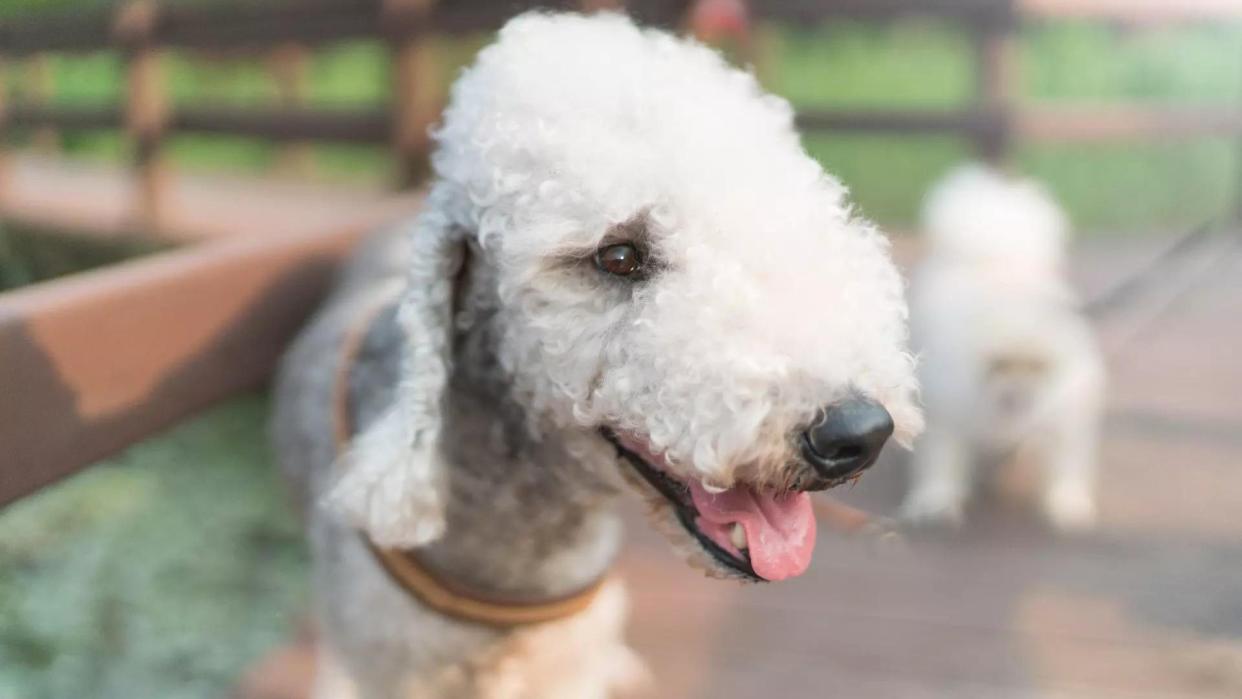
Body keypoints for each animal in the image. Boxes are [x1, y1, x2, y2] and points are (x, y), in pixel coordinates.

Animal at [904, 165, 1107, 531]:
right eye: (999, 364)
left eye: (1038, 366)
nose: (1018, 396)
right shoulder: (949, 411)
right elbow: (942, 462)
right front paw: (936, 504)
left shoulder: (1064, 410)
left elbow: (1066, 462)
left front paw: (1067, 504)